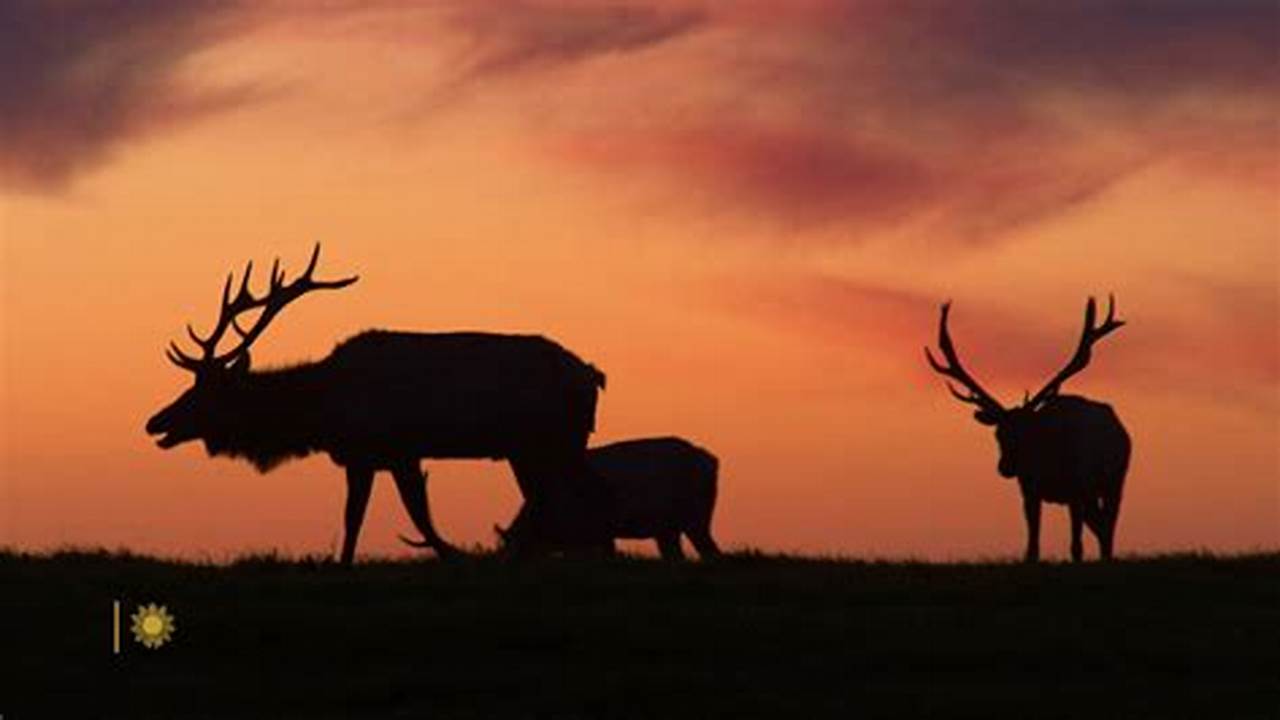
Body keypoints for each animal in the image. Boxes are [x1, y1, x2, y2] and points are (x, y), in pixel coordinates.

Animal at [147, 243, 606, 563]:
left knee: (577, 498)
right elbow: (379, 515)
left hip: (555, 439)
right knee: (553, 500)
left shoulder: (385, 451)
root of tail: (593, 375)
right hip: (527, 449)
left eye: (205, 392)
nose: (154, 421)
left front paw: (447, 555)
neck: (322, 412)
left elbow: (384, 515)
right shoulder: (378, 456)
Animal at [496, 435, 721, 558]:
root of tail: (711, 460)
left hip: (695, 517)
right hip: (668, 528)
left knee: (710, 552)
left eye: (513, 547)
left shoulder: (593, 531)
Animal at [931, 295, 1131, 561]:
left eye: (1028, 433)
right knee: (1101, 526)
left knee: (1108, 526)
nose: (1005, 467)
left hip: (1114, 480)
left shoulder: (1077, 489)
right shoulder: (1029, 491)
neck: (1047, 465)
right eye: (998, 434)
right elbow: (1032, 547)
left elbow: (1076, 547)